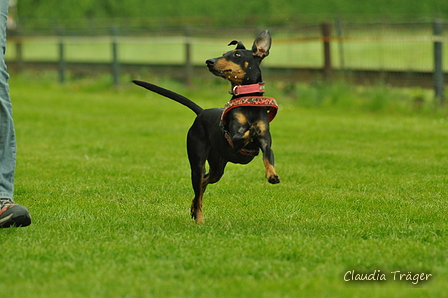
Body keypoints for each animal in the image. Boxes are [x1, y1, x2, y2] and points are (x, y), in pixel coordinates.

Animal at [133, 30, 280, 222]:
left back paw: (193, 209)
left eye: (236, 55)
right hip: (197, 162)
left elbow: (267, 156)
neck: (248, 101)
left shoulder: (265, 141)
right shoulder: (235, 138)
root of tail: (202, 113)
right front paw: (251, 129)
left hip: (217, 167)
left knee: (203, 183)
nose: (209, 61)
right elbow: (243, 134)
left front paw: (272, 174)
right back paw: (199, 218)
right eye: (224, 53)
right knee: (199, 185)